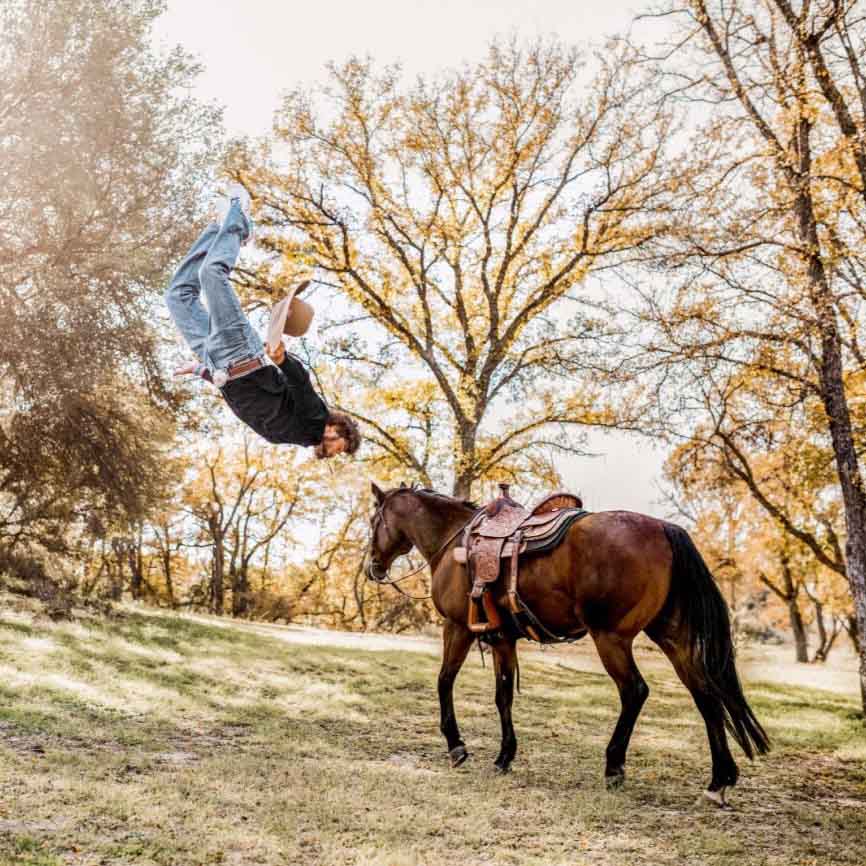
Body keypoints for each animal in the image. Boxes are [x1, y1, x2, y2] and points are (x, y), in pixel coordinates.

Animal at [366, 482, 768, 808]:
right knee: (705, 694)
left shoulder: (458, 628)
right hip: (672, 637)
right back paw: (718, 781)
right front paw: (504, 756)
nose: (373, 568)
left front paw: (456, 747)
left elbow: (444, 681)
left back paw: (614, 766)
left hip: (611, 637)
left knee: (635, 691)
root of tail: (664, 529)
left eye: (373, 521)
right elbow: (503, 695)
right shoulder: (503, 639)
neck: (454, 540)